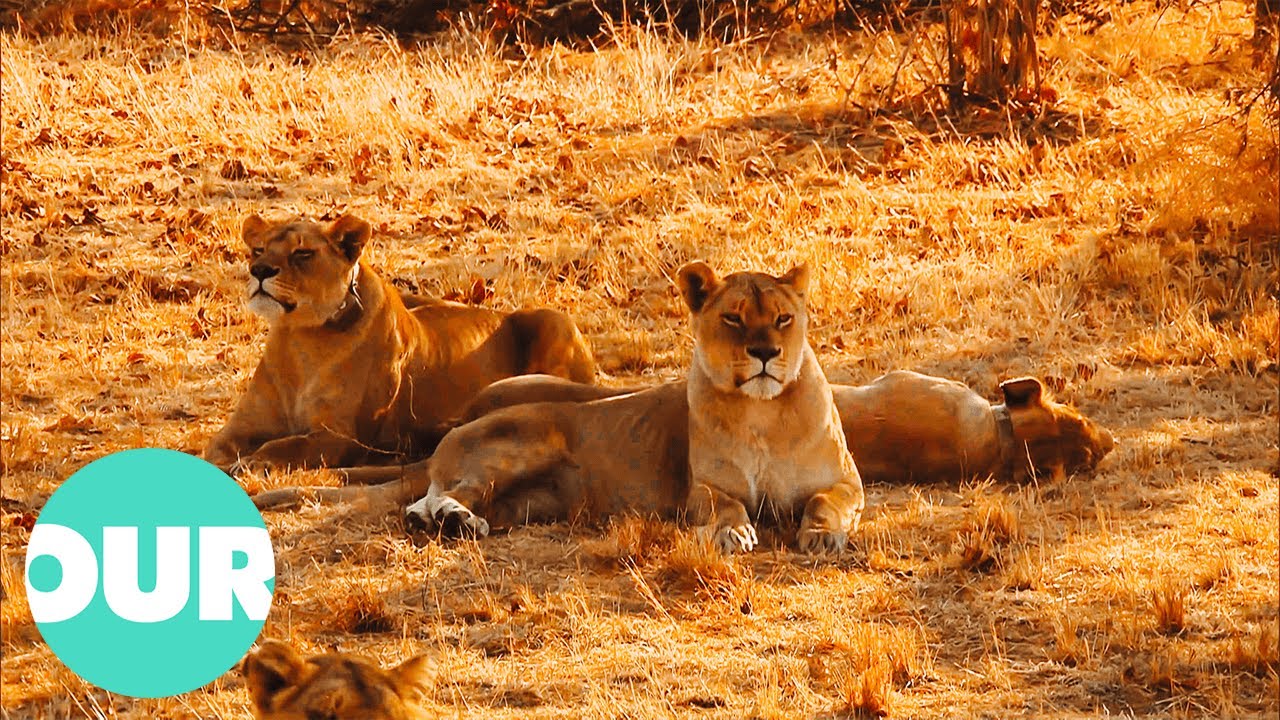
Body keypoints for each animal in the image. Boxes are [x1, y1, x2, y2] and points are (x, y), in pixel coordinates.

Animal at [203, 213, 596, 473]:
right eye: (257, 250)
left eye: (302, 254)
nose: (259, 271)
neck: (298, 339)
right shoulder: (242, 426)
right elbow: (215, 447)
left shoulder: (341, 437)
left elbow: (283, 445)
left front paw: (249, 464)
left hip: (552, 319)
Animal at [398, 261, 865, 554]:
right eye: (733, 318)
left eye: (784, 318)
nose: (765, 352)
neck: (763, 414)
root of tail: (454, 430)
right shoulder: (702, 489)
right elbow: (727, 507)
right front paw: (734, 533)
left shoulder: (846, 482)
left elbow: (823, 502)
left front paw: (822, 537)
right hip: (523, 445)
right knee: (450, 493)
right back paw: (457, 520)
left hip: (520, 503)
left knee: (424, 503)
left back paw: (444, 522)